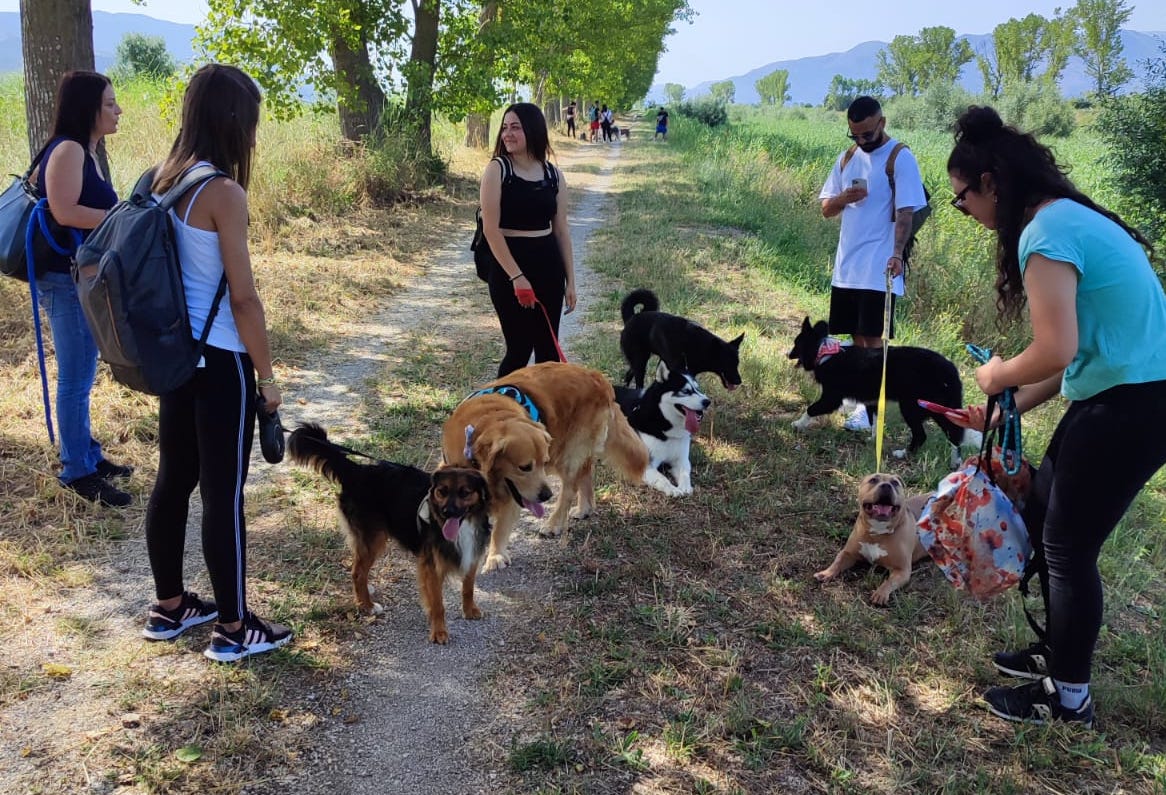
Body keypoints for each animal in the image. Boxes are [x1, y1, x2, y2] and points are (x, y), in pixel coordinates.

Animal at [293, 424, 494, 638]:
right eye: (442, 491)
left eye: (465, 492)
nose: (447, 512)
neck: (466, 524)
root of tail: (356, 471)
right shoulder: (431, 567)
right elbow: (438, 604)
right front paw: (439, 631)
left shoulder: (472, 554)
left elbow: (468, 588)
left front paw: (469, 610)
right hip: (374, 539)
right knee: (357, 572)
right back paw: (366, 605)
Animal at [445, 359, 680, 568]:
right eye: (525, 467)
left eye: (542, 462)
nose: (545, 495)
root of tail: (598, 377)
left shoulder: (512, 497)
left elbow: (500, 529)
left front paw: (495, 557)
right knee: (586, 473)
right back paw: (584, 508)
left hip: (568, 453)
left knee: (569, 489)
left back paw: (553, 523)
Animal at [788, 314, 979, 459]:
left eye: (796, 344)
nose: (788, 354)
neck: (823, 351)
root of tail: (952, 370)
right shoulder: (872, 400)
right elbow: (874, 420)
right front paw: (874, 440)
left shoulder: (831, 398)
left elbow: (811, 408)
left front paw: (798, 423)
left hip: (915, 406)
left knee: (930, 435)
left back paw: (906, 454)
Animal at [811, 470, 928, 601]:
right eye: (873, 480)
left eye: (895, 483)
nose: (886, 485)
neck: (877, 532)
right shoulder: (848, 553)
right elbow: (837, 562)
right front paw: (826, 573)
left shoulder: (902, 569)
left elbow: (889, 582)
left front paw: (881, 593)